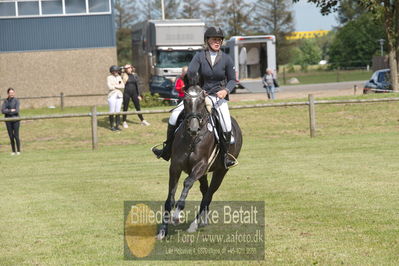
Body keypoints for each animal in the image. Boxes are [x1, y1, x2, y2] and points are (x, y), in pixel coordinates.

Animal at [156, 85, 244, 241]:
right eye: (185, 101)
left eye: (202, 102)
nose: (193, 129)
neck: (192, 139)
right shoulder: (175, 167)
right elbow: (169, 198)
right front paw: (162, 231)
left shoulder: (201, 166)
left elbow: (187, 183)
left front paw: (177, 214)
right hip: (203, 174)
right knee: (205, 191)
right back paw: (203, 219)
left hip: (221, 171)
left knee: (208, 195)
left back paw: (195, 224)